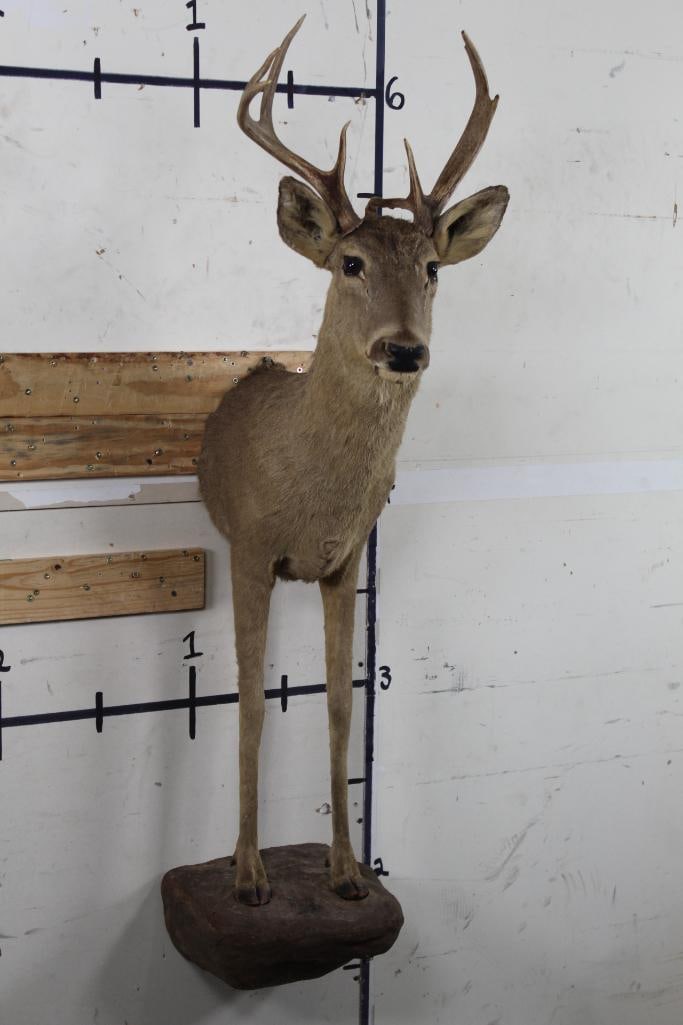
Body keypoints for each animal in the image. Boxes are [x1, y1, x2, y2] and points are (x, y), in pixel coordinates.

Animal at [198, 16, 508, 906]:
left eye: (432, 267)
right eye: (349, 262)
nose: (402, 349)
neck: (312, 494)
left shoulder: (343, 561)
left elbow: (340, 705)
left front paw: (344, 870)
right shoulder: (250, 547)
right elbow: (251, 706)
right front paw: (249, 874)